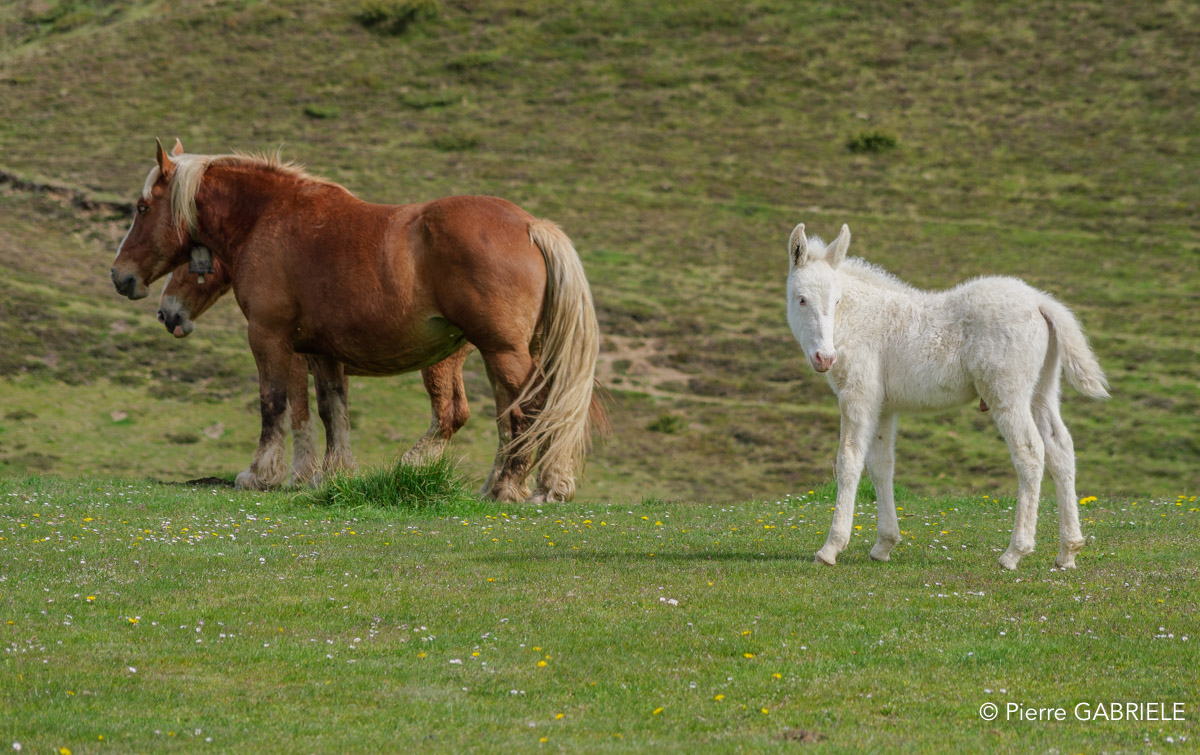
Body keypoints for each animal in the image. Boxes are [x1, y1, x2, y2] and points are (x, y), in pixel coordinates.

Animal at [157, 257, 474, 485]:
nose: (164, 314)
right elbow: (334, 415)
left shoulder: (295, 363)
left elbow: (300, 414)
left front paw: (301, 475)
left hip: (439, 364)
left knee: (450, 413)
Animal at [785, 223, 1109, 570]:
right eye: (801, 299)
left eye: (837, 300)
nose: (825, 358)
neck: (861, 320)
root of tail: (1040, 302)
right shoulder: (883, 406)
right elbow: (881, 465)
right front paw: (885, 544)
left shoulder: (857, 395)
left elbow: (848, 460)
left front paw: (831, 548)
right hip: (1042, 390)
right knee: (1061, 448)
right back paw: (1068, 550)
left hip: (1007, 393)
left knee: (1031, 453)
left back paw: (1015, 552)